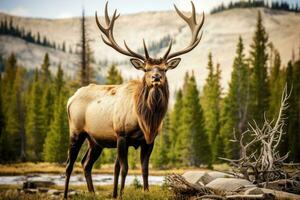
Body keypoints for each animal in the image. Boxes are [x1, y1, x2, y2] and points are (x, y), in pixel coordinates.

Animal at [63, 1, 204, 198]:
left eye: (164, 69)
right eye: (146, 69)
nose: (156, 77)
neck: (145, 120)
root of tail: (71, 98)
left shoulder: (149, 140)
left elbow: (145, 169)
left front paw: (144, 191)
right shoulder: (122, 136)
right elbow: (124, 168)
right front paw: (121, 194)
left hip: (95, 140)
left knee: (86, 163)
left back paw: (92, 193)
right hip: (76, 130)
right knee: (69, 164)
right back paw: (65, 194)